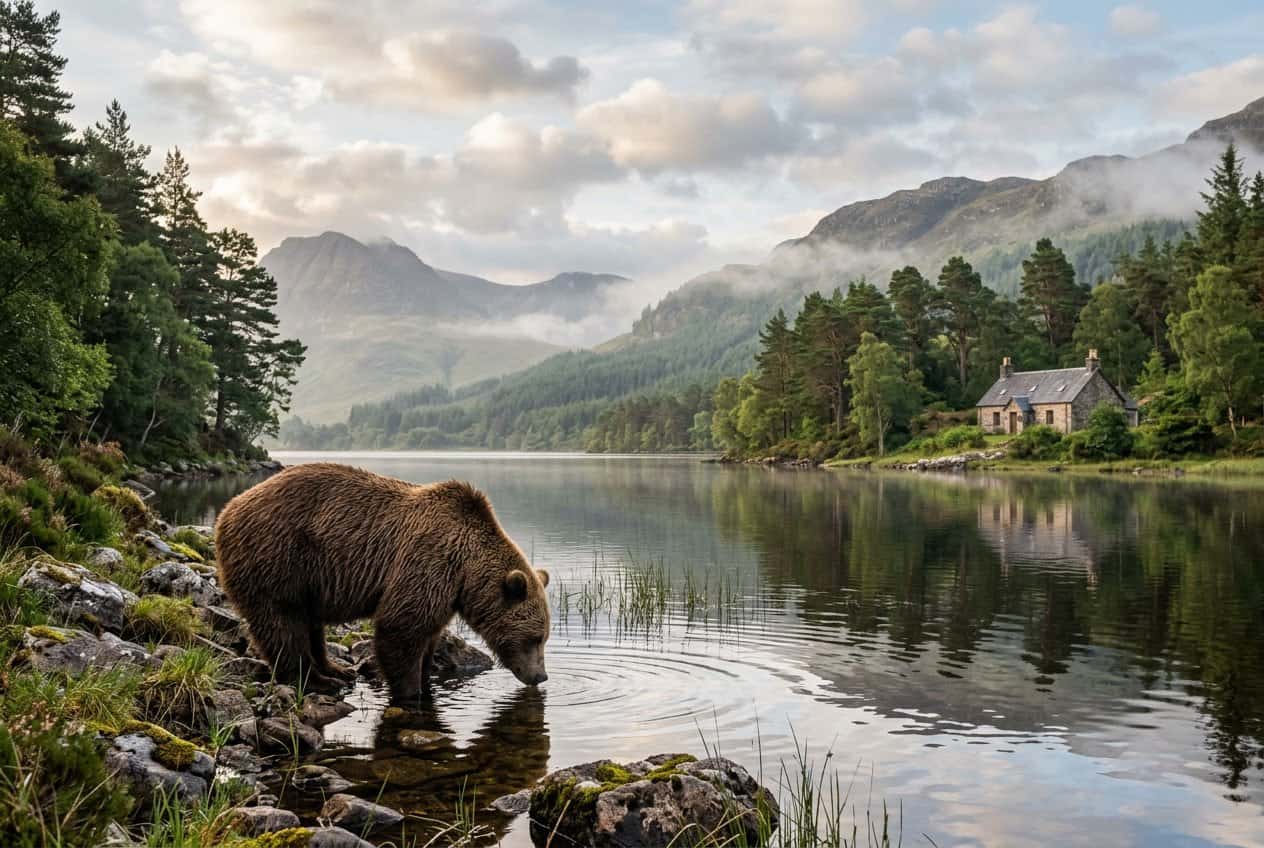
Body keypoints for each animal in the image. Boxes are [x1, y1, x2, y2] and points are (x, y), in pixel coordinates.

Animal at [214, 462, 550, 697]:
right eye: (535, 638)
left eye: (543, 637)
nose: (541, 676)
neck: (465, 572)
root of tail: (227, 510)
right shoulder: (427, 562)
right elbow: (401, 627)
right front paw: (410, 690)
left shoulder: (445, 592)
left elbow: (428, 636)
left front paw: (427, 678)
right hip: (277, 557)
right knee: (284, 624)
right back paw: (317, 680)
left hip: (304, 578)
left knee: (310, 625)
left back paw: (336, 670)